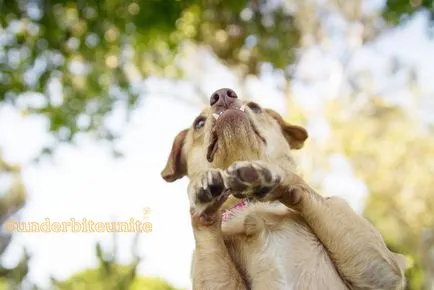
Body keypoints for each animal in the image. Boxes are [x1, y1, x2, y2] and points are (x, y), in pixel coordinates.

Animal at [160, 88, 406, 290]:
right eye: (199, 123)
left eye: (255, 107)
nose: (222, 94)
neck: (252, 206)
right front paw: (201, 194)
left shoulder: (379, 272)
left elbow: (293, 181)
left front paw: (266, 174)